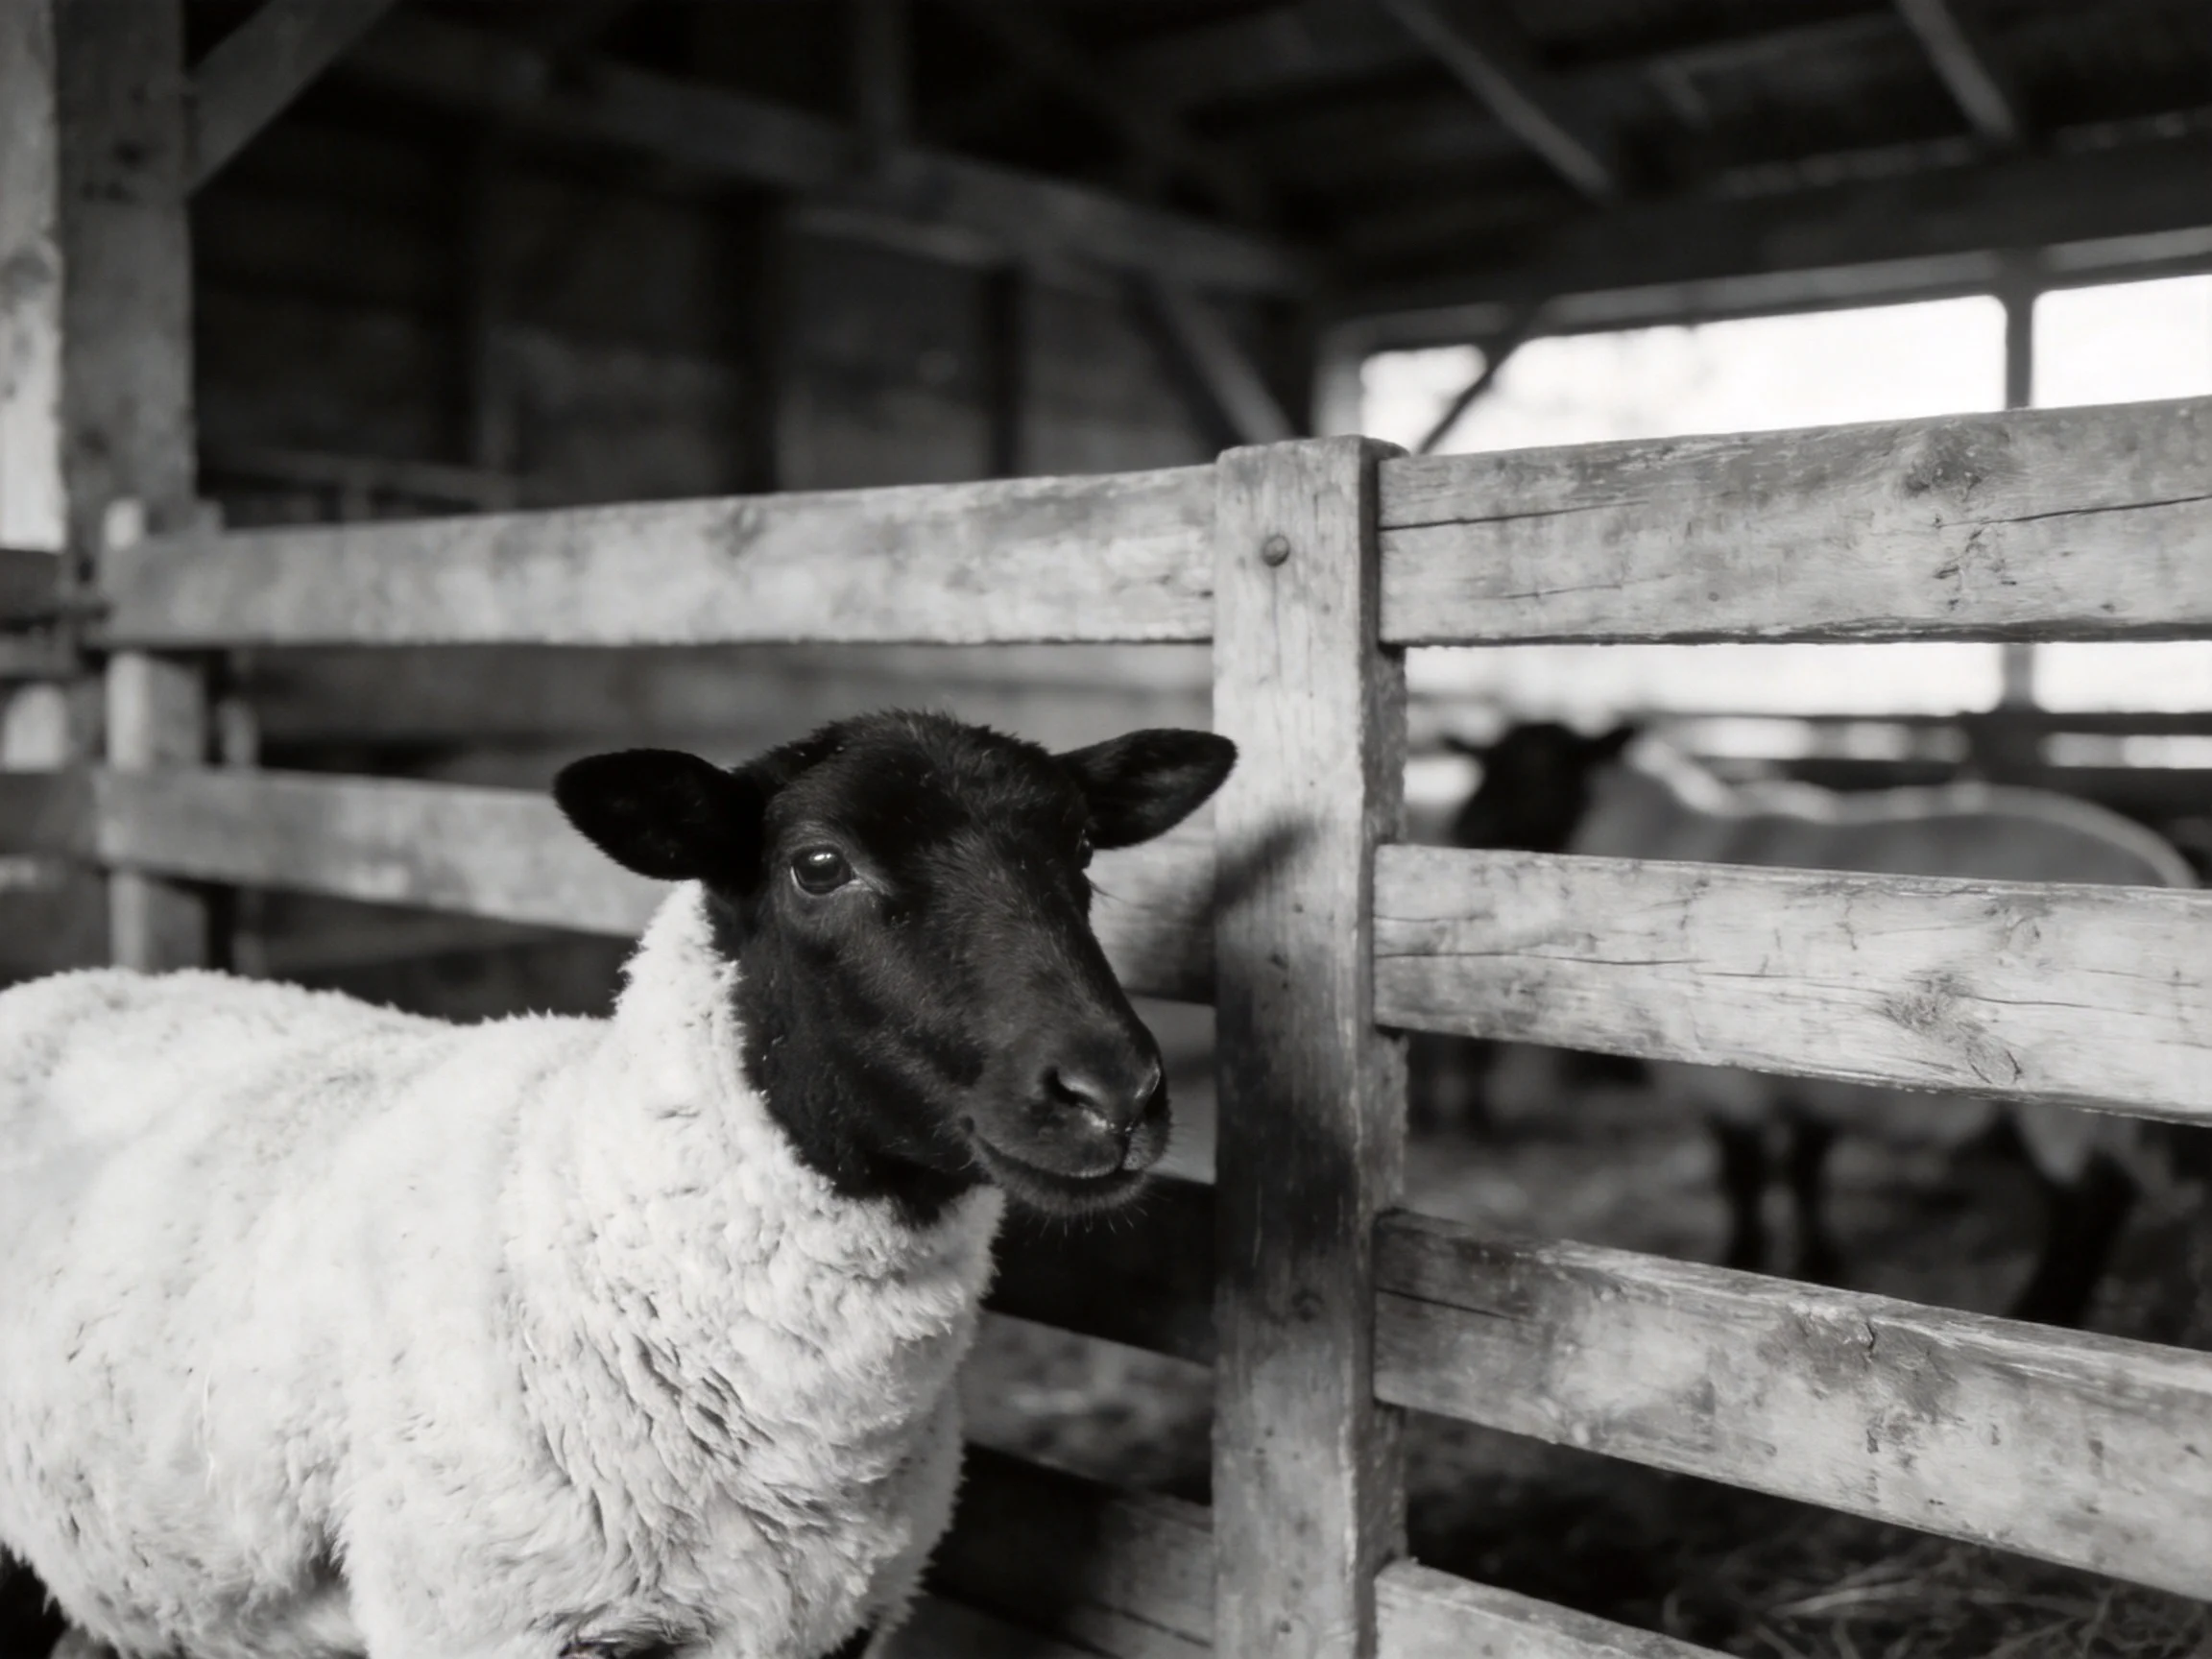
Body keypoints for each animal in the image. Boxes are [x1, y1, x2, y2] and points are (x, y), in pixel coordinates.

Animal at [0, 709, 1236, 1659]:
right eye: (819, 865)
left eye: (1085, 852)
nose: (1115, 1095)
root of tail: (56, 982)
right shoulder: (489, 1619)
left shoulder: (835, 1623)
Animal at [1450, 720, 2194, 1326]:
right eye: (1486, 762)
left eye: (1541, 770)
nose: (1463, 831)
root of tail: (2163, 866)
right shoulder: (1815, 1087)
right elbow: (1805, 1168)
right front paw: (1819, 1259)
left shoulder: (1731, 1086)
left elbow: (1746, 1179)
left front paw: (1744, 1257)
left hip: (2065, 1098)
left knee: (2086, 1205)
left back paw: (2043, 1309)